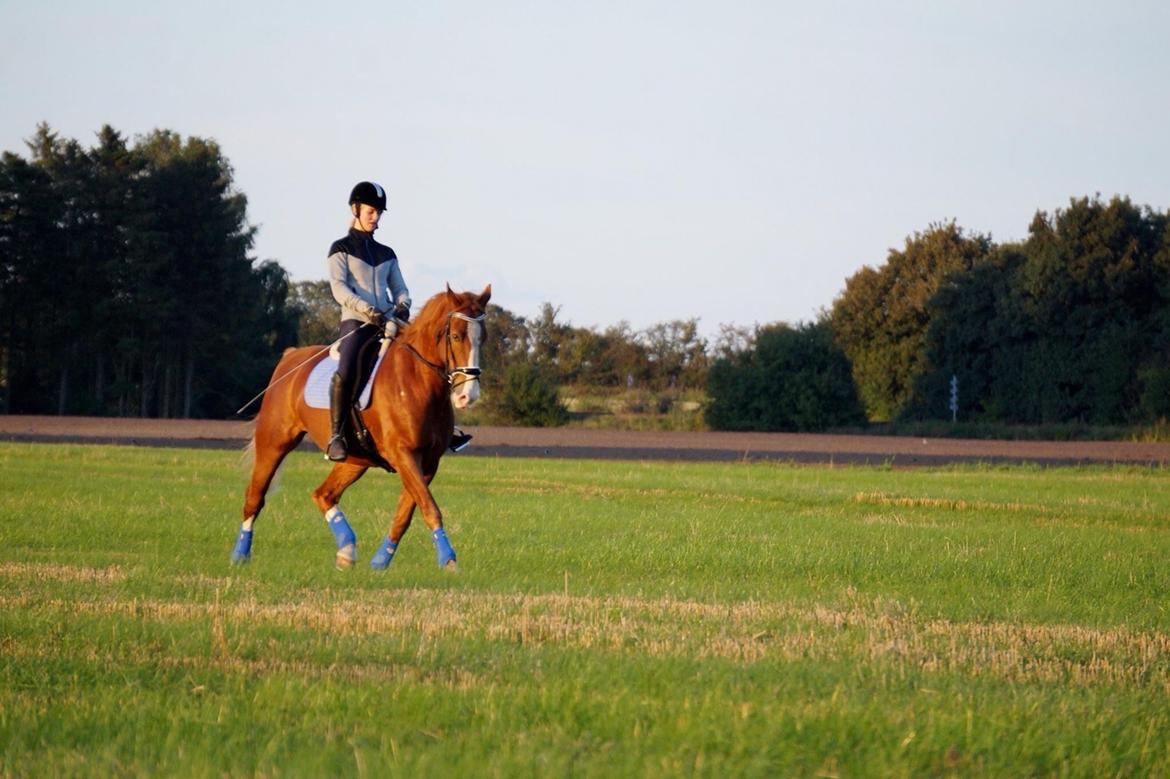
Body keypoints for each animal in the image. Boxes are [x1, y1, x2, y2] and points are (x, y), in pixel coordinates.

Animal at [230, 281, 491, 568]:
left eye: (483, 338)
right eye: (455, 336)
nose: (468, 396)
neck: (417, 382)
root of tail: (291, 356)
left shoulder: (428, 462)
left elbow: (406, 514)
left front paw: (380, 562)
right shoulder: (404, 455)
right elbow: (429, 507)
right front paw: (448, 559)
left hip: (355, 459)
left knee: (324, 494)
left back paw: (346, 549)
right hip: (274, 442)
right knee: (254, 497)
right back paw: (240, 554)